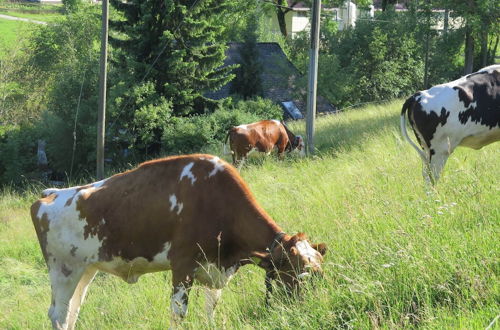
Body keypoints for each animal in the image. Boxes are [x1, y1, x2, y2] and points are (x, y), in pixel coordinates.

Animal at [31, 153, 328, 328]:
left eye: (320, 276)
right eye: (297, 276)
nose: (310, 310)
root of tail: (51, 194)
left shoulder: (214, 269)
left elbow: (210, 310)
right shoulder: (183, 265)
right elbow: (178, 314)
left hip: (85, 270)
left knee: (72, 312)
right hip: (63, 270)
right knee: (59, 314)